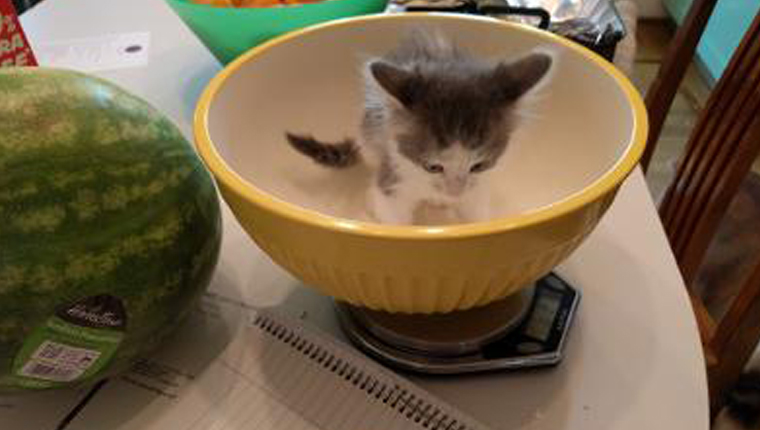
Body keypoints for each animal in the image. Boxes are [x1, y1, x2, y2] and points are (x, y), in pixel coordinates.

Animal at [284, 30, 552, 225]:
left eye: (479, 165)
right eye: (432, 166)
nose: (454, 193)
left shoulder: (478, 185)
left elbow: (476, 214)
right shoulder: (393, 176)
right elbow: (393, 216)